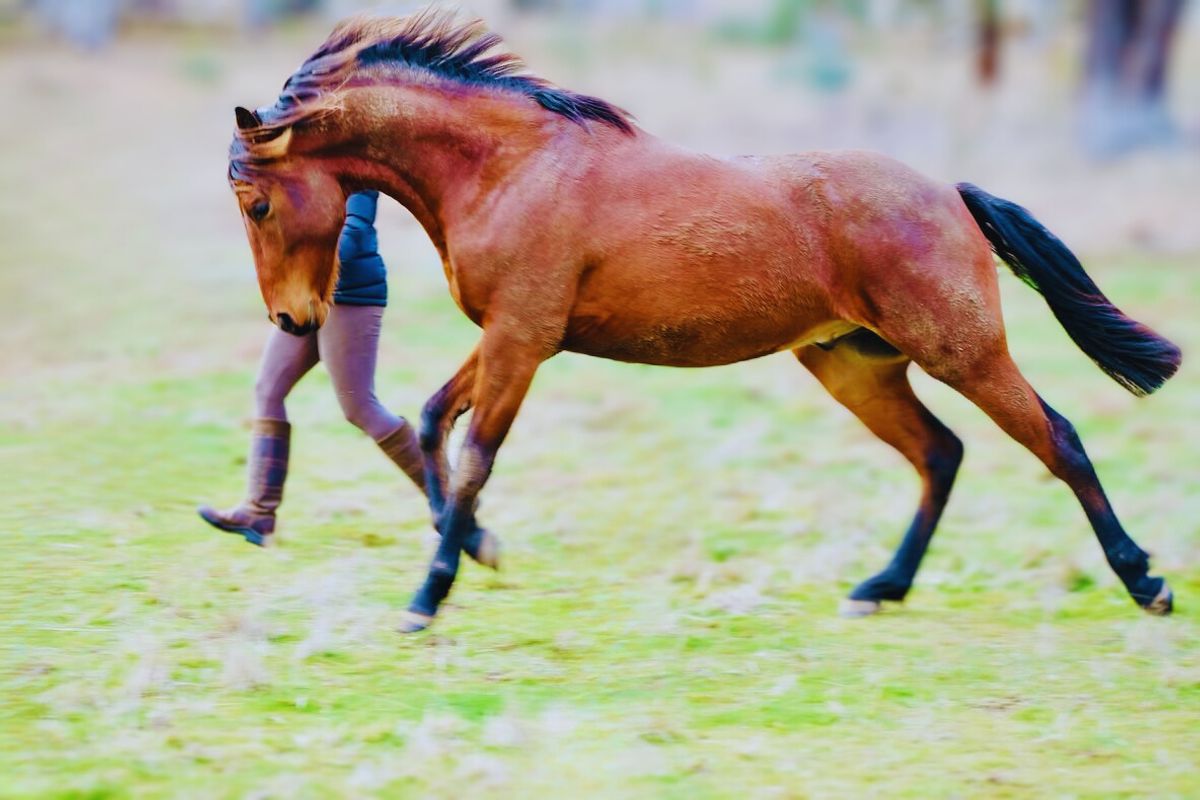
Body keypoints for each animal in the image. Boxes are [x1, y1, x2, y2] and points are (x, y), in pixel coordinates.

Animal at [227, 10, 1181, 632]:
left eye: (258, 201)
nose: (294, 317)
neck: (509, 167)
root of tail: (950, 191)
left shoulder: (523, 341)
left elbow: (472, 458)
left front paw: (428, 596)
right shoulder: (506, 337)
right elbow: (431, 426)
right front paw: (476, 553)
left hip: (962, 350)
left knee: (1058, 440)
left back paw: (1145, 582)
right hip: (855, 364)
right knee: (941, 453)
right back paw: (881, 587)